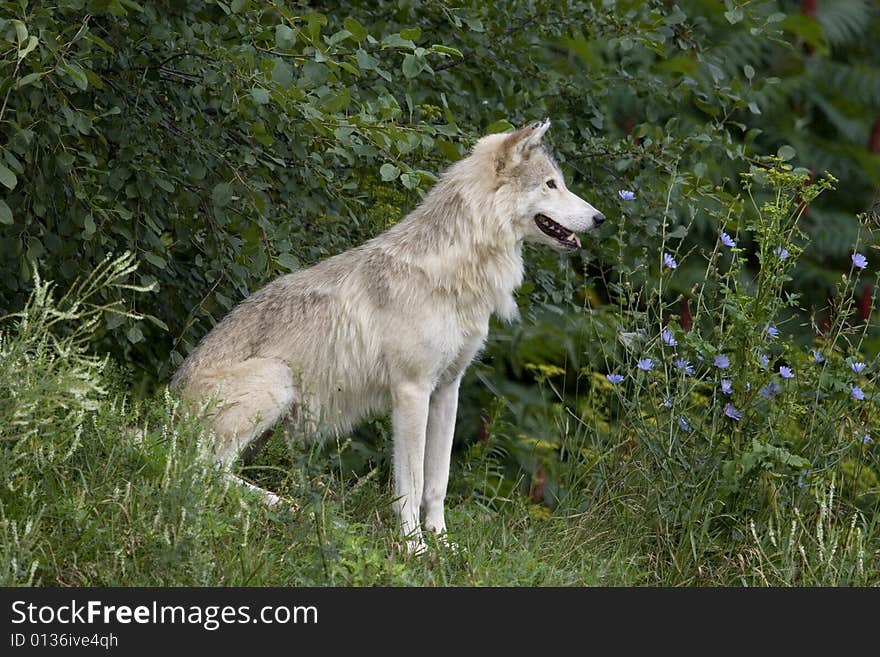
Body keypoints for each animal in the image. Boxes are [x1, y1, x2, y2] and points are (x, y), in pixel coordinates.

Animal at [175, 120, 608, 552]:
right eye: (551, 184)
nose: (601, 218)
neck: (454, 274)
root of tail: (169, 401)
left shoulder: (448, 388)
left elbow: (437, 481)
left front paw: (442, 543)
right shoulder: (411, 391)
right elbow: (411, 483)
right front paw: (414, 546)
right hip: (276, 379)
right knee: (202, 471)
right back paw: (297, 509)